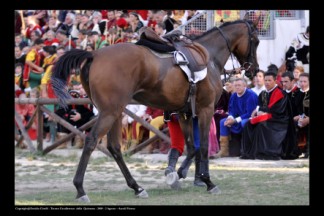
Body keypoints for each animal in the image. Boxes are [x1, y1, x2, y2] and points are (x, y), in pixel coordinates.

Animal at [52, 16, 260, 202]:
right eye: (256, 41)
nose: (254, 69)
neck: (210, 57)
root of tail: (94, 54)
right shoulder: (205, 110)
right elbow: (202, 147)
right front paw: (207, 181)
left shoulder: (184, 113)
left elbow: (192, 147)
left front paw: (178, 174)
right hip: (109, 112)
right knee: (91, 141)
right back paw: (80, 189)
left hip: (114, 112)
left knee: (114, 147)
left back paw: (137, 187)